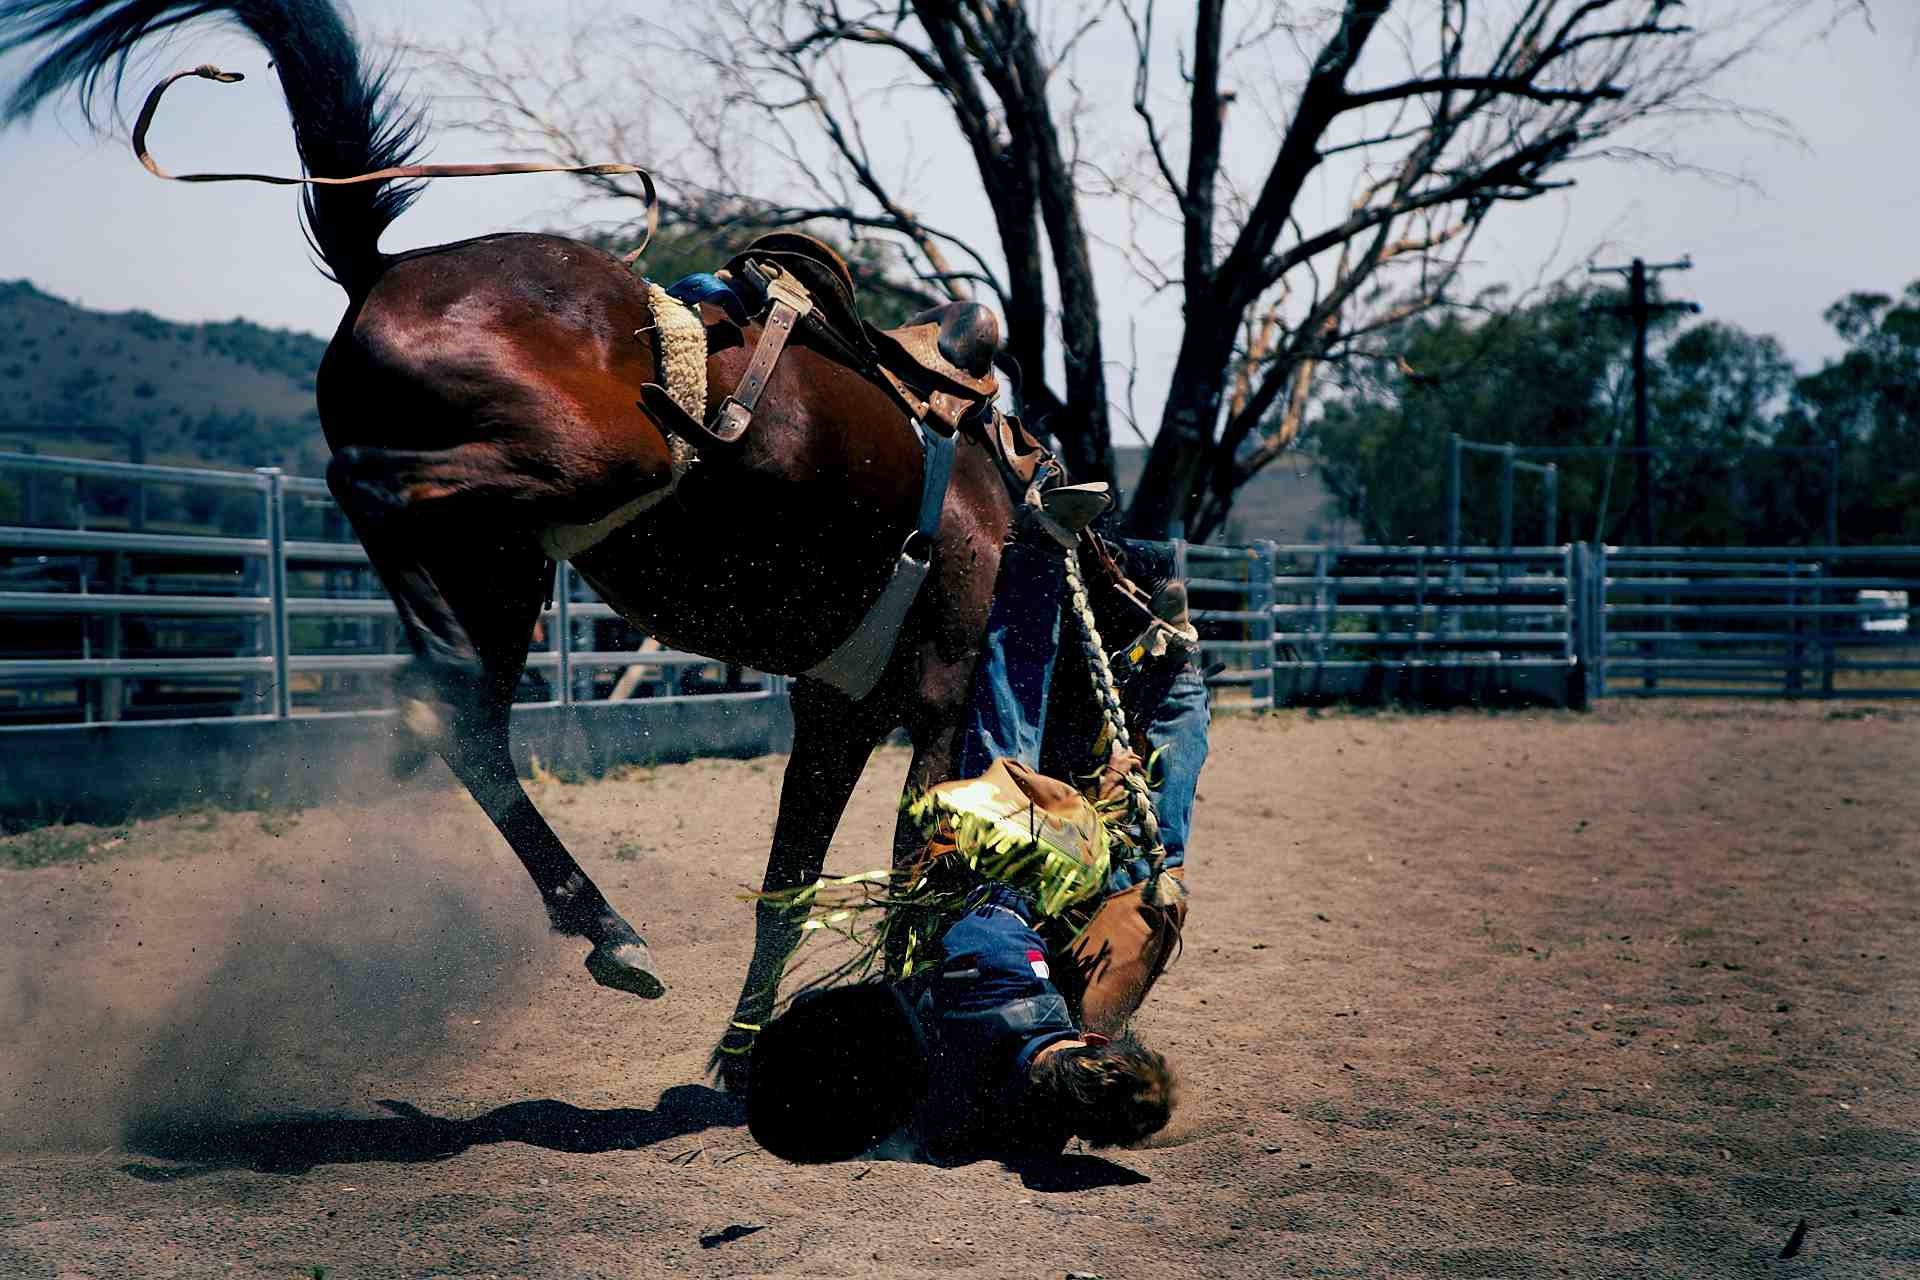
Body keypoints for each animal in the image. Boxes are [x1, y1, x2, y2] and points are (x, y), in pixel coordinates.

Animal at [0, 0, 1175, 1082]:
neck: (1009, 510)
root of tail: (385, 268)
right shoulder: (934, 697)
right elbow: (913, 882)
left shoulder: (836, 711)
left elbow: (789, 882)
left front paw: (742, 1050)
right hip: (592, 467)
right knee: (369, 489)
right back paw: (444, 672)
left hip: (505, 561)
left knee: (468, 723)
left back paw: (606, 923)